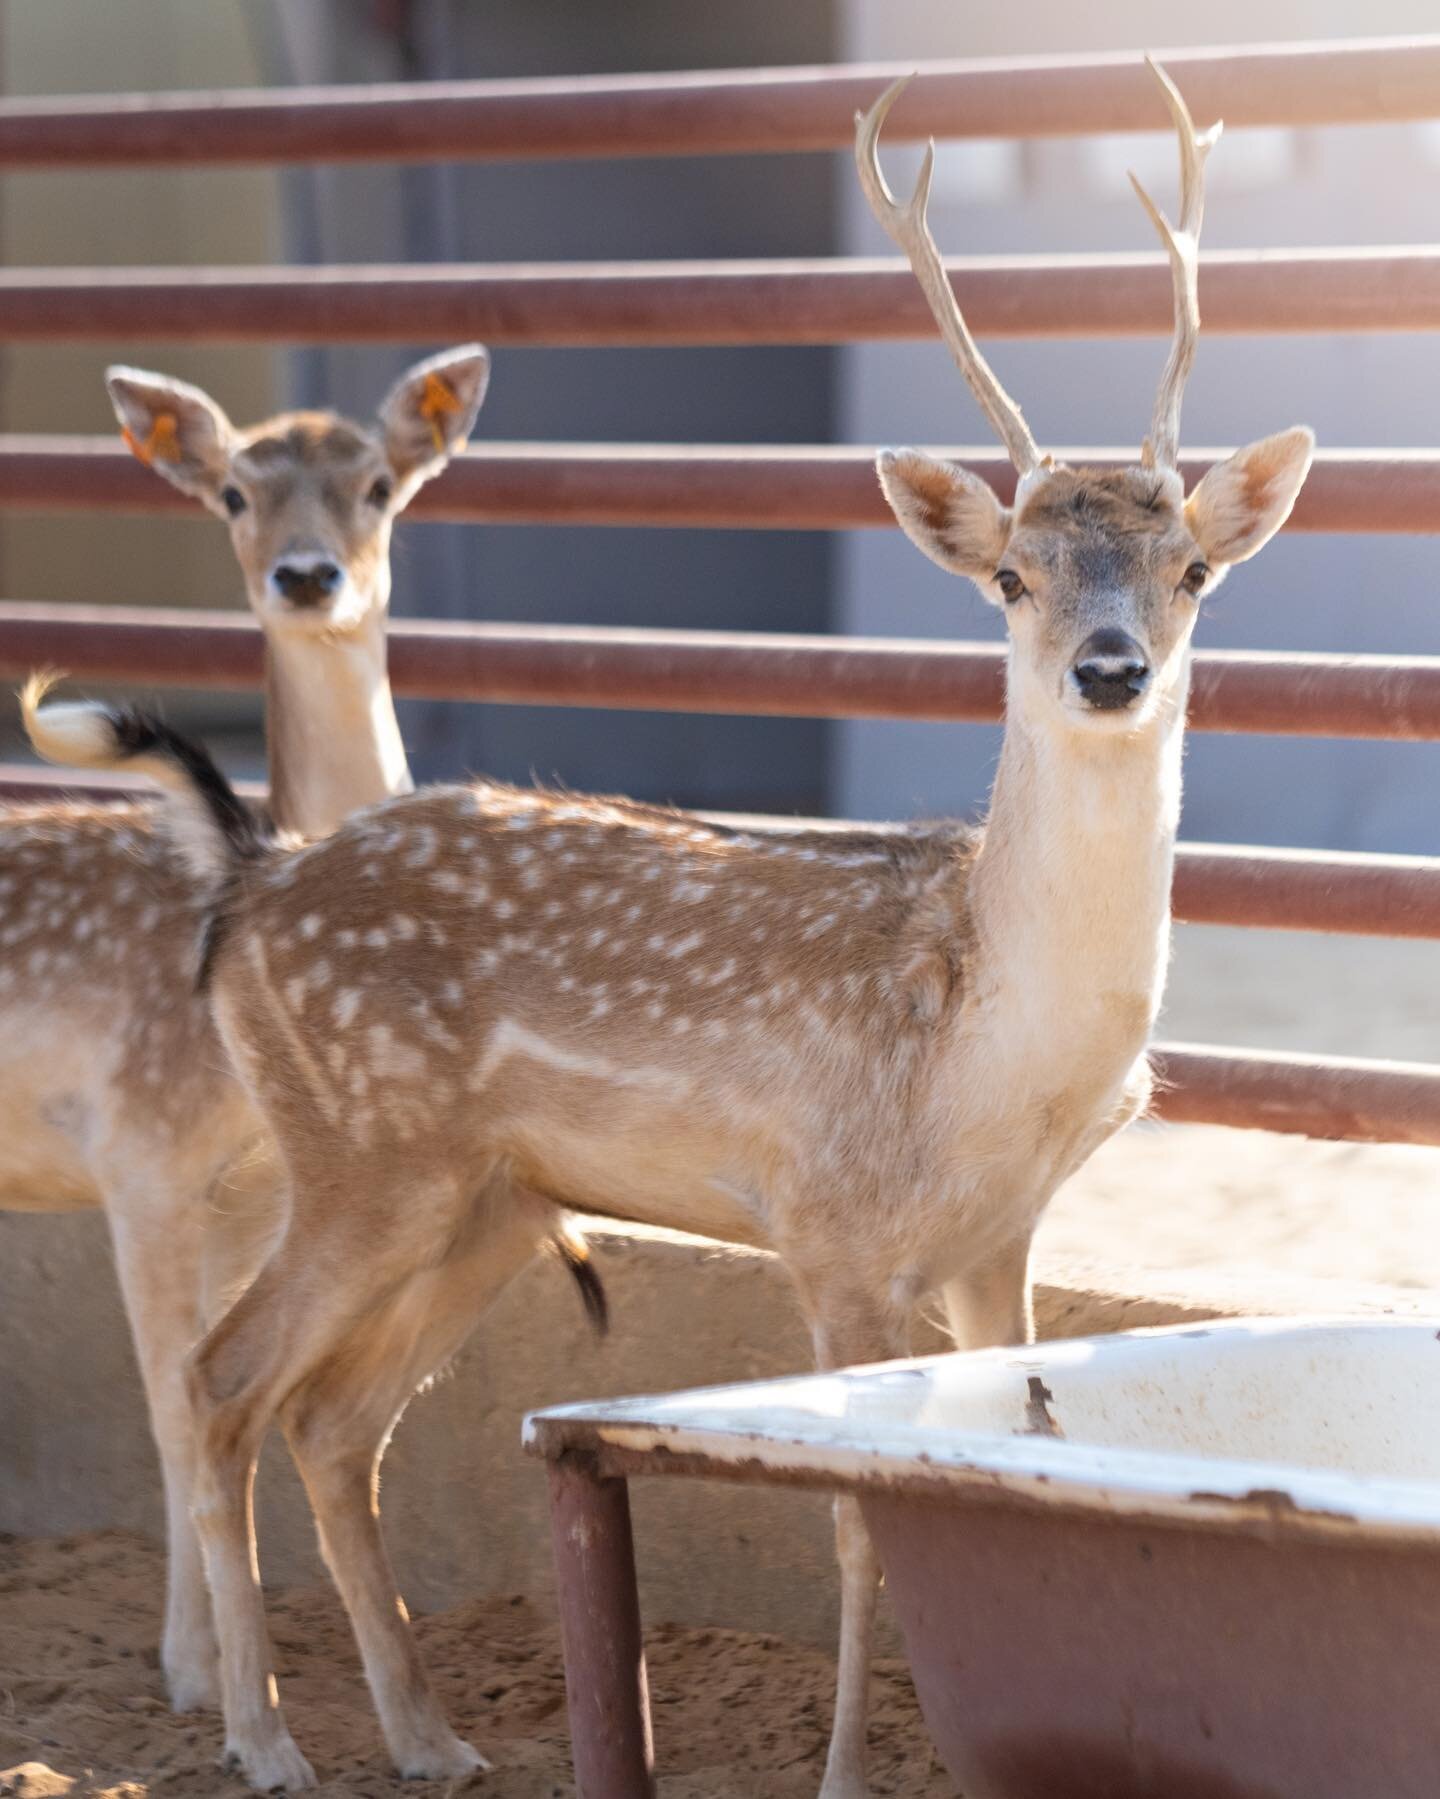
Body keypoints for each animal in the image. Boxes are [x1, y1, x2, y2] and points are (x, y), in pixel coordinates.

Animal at [1, 347, 489, 1712]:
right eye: (230, 491)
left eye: (380, 484)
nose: (308, 575)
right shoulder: (141, 1153)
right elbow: (175, 1402)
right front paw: (196, 1674)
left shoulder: (255, 1188)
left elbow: (216, 1393)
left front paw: (219, 1664)